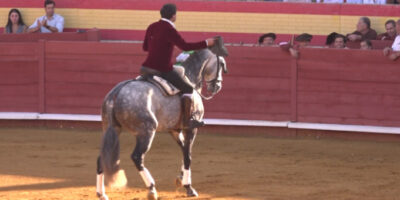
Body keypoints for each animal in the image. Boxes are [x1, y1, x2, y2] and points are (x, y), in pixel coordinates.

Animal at [95, 46, 228, 198]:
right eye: (222, 64)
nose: (217, 86)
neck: (190, 77)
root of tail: (117, 92)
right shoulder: (191, 128)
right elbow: (188, 156)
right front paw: (189, 187)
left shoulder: (174, 130)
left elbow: (184, 151)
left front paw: (180, 179)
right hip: (146, 131)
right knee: (137, 157)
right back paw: (152, 189)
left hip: (111, 130)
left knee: (101, 159)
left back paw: (101, 194)